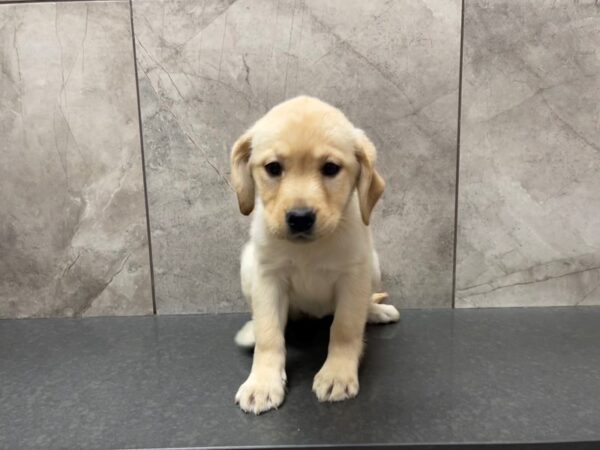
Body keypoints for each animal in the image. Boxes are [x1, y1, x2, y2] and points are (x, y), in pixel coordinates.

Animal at [230, 96, 398, 414]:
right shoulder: (268, 277)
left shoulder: (353, 276)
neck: (308, 249)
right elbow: (270, 334)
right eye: (273, 168)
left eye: (331, 168)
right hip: (247, 264)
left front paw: (336, 375)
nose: (300, 218)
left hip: (373, 265)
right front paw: (263, 383)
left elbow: (345, 328)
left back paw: (375, 311)